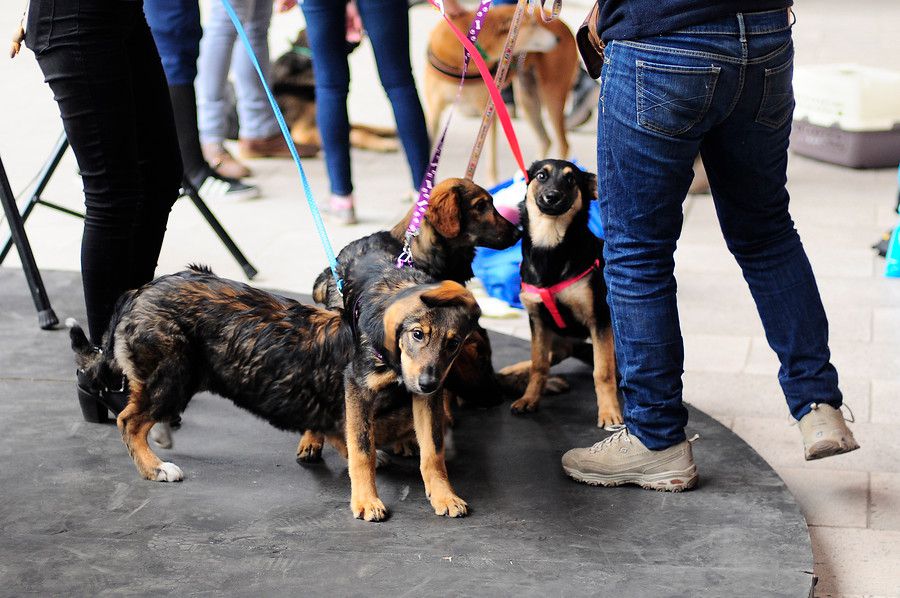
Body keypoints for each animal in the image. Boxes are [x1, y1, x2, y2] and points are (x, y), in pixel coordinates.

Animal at [68, 264, 486, 524]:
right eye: (417, 334)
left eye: (453, 343)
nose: (429, 382)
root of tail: (139, 292)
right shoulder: (357, 388)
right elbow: (361, 451)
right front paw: (366, 500)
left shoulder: (423, 399)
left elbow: (432, 453)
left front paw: (444, 497)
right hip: (172, 376)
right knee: (128, 419)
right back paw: (154, 467)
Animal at [502, 161, 624, 432]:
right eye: (540, 175)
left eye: (571, 180)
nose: (552, 197)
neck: (550, 245)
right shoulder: (537, 320)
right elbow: (538, 365)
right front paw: (529, 399)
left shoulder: (599, 319)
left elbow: (602, 371)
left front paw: (609, 413)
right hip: (556, 338)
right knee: (545, 358)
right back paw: (513, 369)